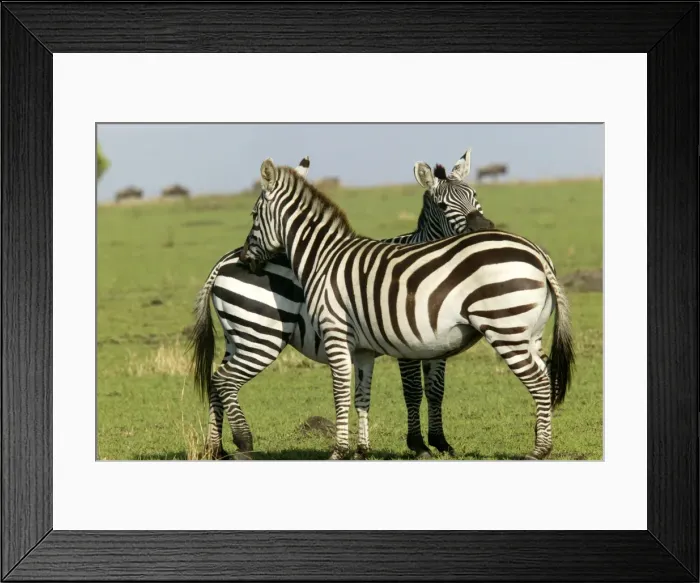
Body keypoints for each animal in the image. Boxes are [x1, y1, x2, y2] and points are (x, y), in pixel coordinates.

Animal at [188, 151, 494, 460]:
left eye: (475, 194)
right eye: (443, 206)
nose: (483, 228)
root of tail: (227, 260)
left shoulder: (435, 344)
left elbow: (435, 390)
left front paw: (440, 441)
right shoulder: (406, 344)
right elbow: (412, 391)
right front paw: (418, 445)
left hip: (238, 336)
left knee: (216, 383)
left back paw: (216, 447)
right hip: (260, 335)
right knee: (225, 380)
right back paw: (240, 442)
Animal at [238, 157, 575, 461]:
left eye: (253, 214)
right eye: (443, 205)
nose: (245, 260)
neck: (324, 257)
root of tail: (536, 253)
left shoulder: (337, 332)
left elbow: (341, 391)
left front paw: (339, 451)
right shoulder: (364, 346)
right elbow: (364, 395)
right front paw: (363, 451)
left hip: (505, 327)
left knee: (539, 380)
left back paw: (539, 451)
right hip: (530, 332)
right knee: (546, 375)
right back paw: (543, 442)